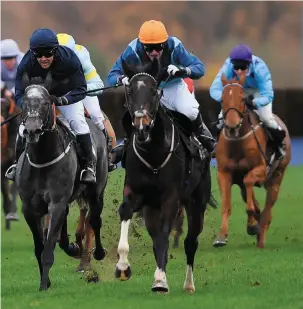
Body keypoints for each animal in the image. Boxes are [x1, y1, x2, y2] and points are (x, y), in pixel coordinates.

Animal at [15, 83, 108, 290]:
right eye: (24, 102)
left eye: (45, 103)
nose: (31, 130)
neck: (42, 159)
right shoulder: (30, 209)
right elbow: (40, 246)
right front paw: (46, 280)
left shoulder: (57, 203)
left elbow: (48, 248)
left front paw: (43, 285)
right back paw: (73, 248)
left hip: (96, 192)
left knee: (95, 220)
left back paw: (97, 253)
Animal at [115, 60, 213, 294]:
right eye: (130, 91)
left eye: (153, 91)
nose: (141, 127)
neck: (153, 151)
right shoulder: (135, 192)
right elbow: (125, 212)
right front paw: (122, 266)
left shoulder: (171, 197)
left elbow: (166, 236)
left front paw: (160, 280)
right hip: (151, 209)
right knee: (156, 237)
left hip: (197, 202)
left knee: (190, 242)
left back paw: (188, 284)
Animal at [214, 74, 292, 248]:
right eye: (222, 99)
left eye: (242, 99)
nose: (231, 126)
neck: (237, 142)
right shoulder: (224, 172)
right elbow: (226, 204)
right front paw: (221, 236)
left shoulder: (261, 169)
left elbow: (249, 181)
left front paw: (252, 223)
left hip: (277, 177)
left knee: (268, 208)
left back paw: (261, 236)